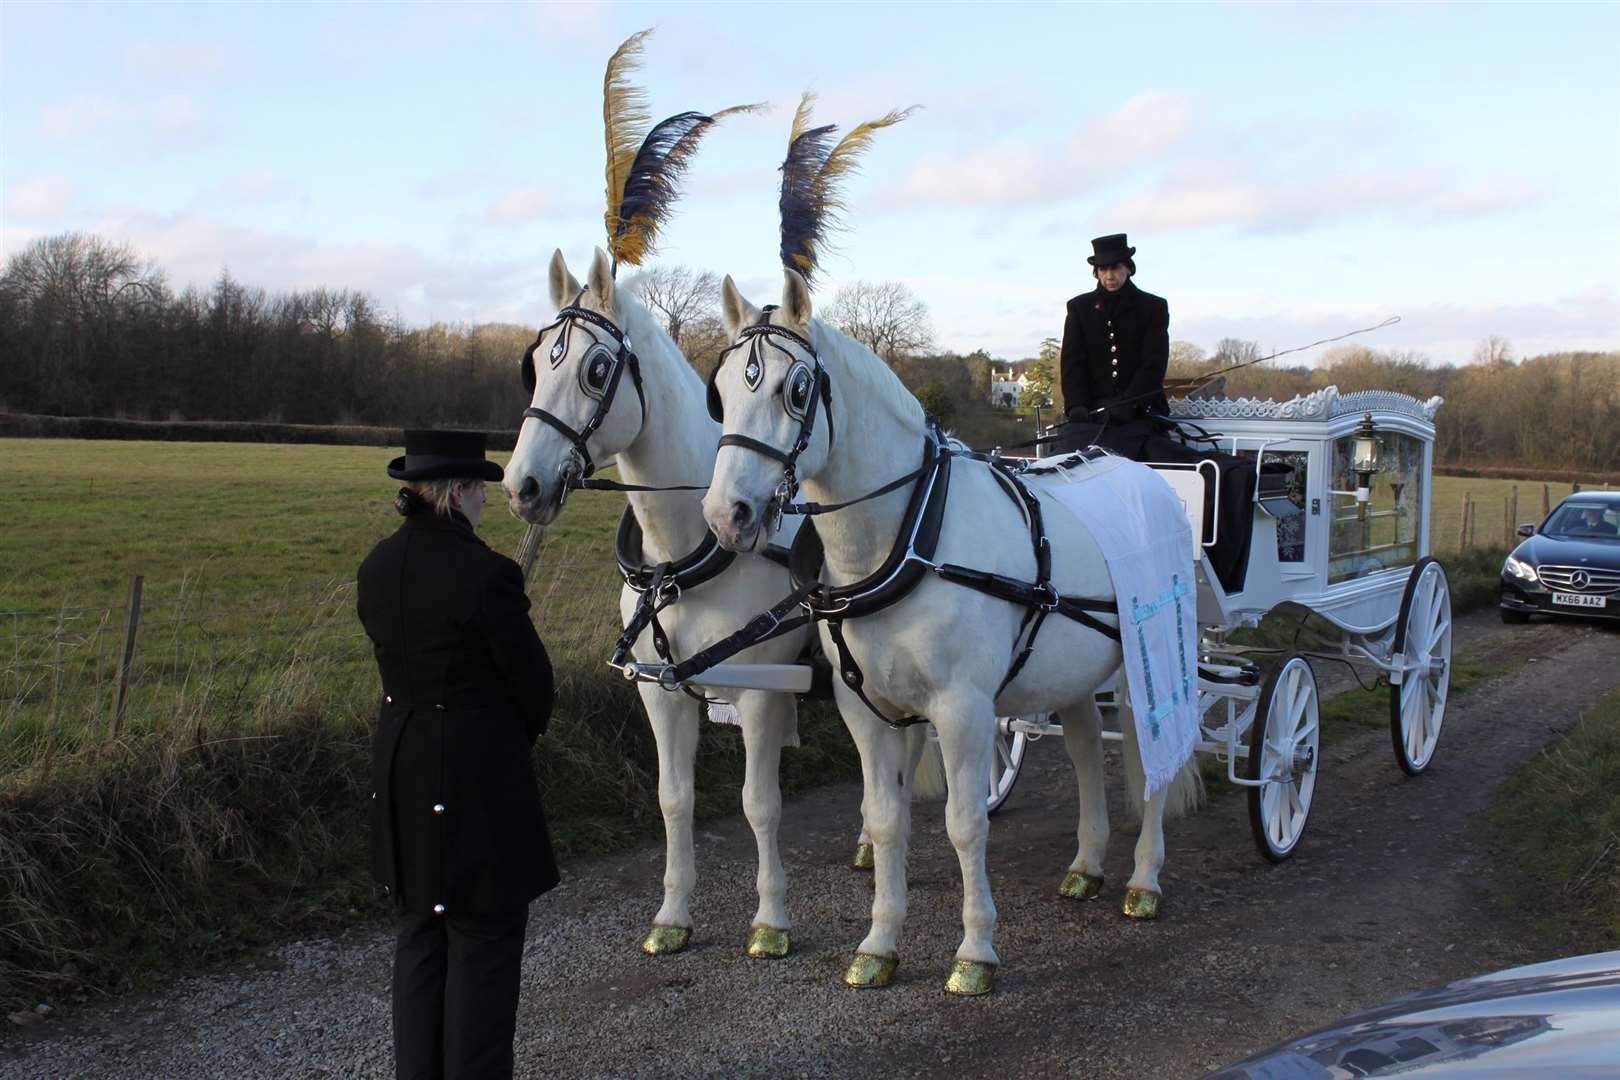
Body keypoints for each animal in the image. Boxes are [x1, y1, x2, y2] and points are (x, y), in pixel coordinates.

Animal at [505, 249, 939, 958]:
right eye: (537, 363)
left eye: (595, 370)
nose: (523, 487)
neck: (681, 555)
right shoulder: (660, 689)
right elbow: (673, 799)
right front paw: (672, 915)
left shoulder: (762, 690)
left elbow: (759, 804)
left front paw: (770, 922)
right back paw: (870, 848)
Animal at [699, 270, 1205, 997]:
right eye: (720, 391)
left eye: (795, 389)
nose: (726, 515)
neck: (910, 533)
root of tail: (1150, 480)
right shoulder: (867, 709)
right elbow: (886, 820)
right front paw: (879, 945)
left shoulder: (963, 709)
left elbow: (965, 825)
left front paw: (975, 953)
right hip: (1074, 669)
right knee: (1086, 749)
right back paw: (1087, 863)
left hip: (1149, 657)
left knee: (1150, 760)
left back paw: (1144, 878)